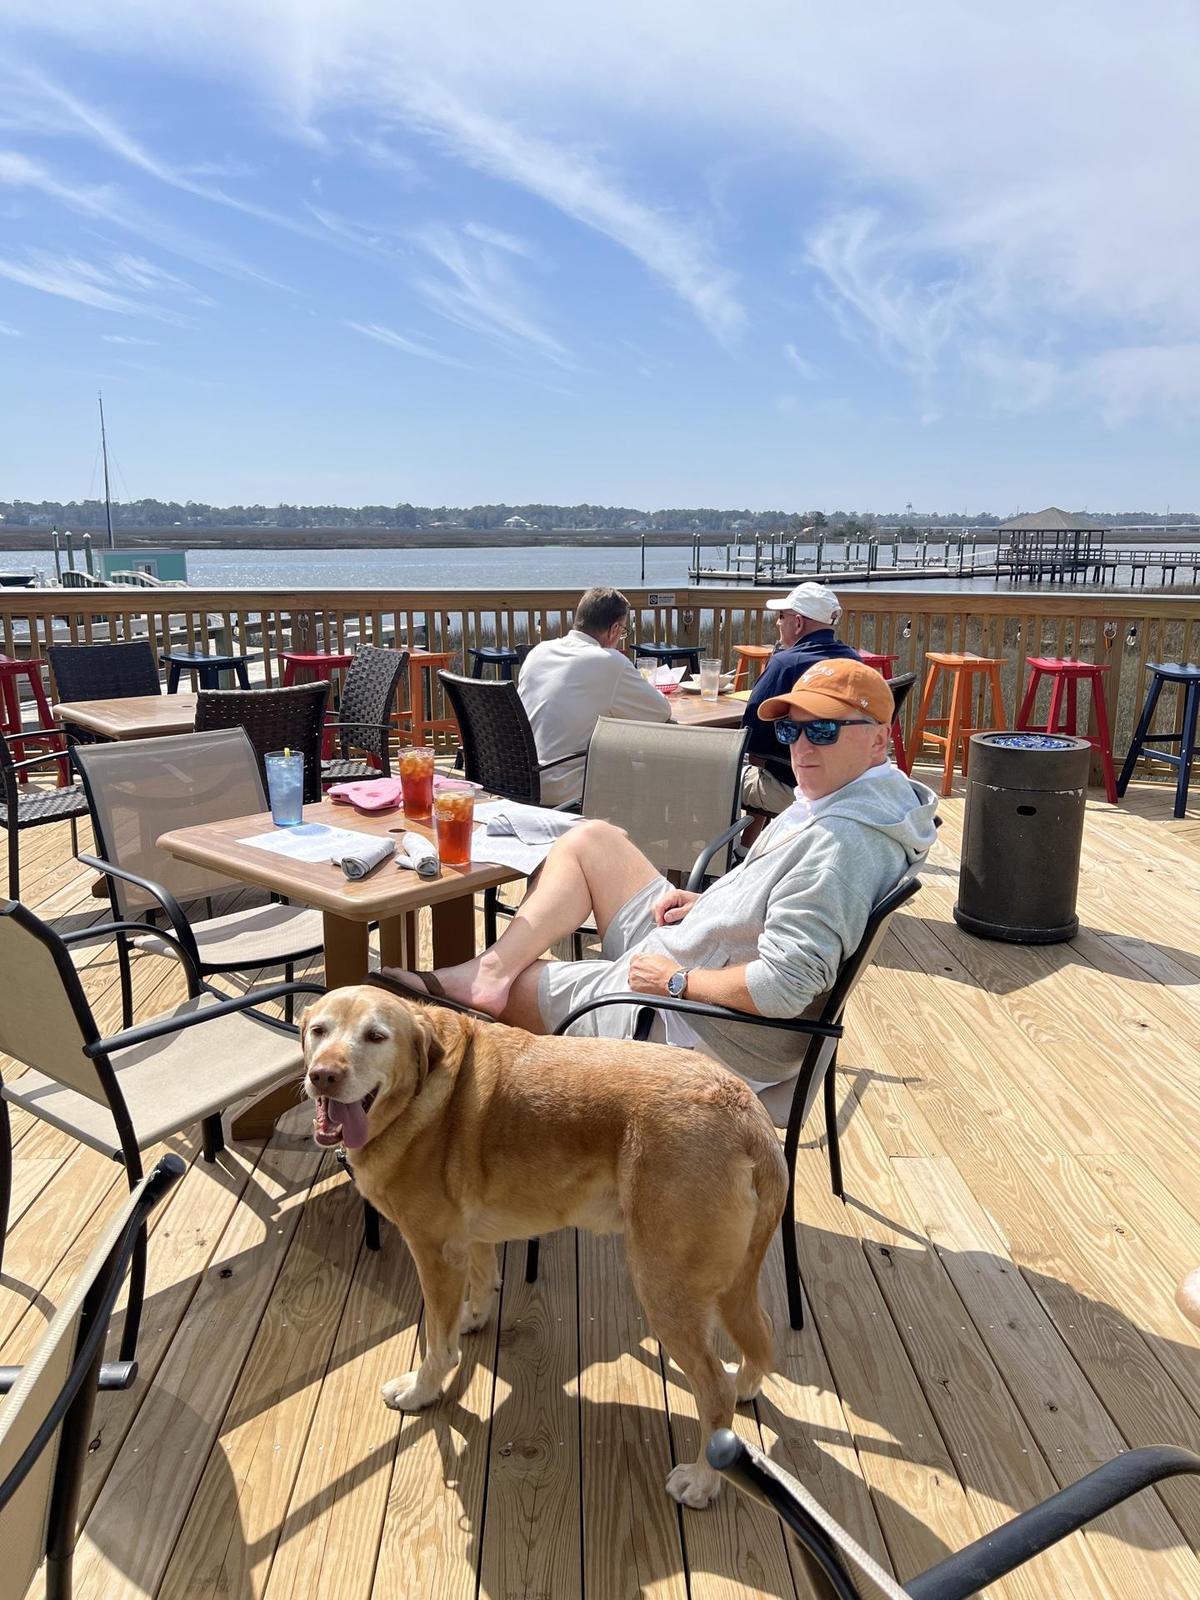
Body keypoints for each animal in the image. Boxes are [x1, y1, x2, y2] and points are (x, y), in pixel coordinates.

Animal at [300, 979, 790, 1504]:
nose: (323, 1075)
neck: (420, 1089)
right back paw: (747, 1383)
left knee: (714, 1391)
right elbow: (481, 1282)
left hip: (665, 1287)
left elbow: (436, 1343)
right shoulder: (467, 1239)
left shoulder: (434, 1252)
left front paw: (420, 1390)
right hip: (729, 1282)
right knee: (761, 1334)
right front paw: (472, 1318)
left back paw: (702, 1480)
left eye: (375, 1036)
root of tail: (749, 1116)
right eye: (318, 1030)